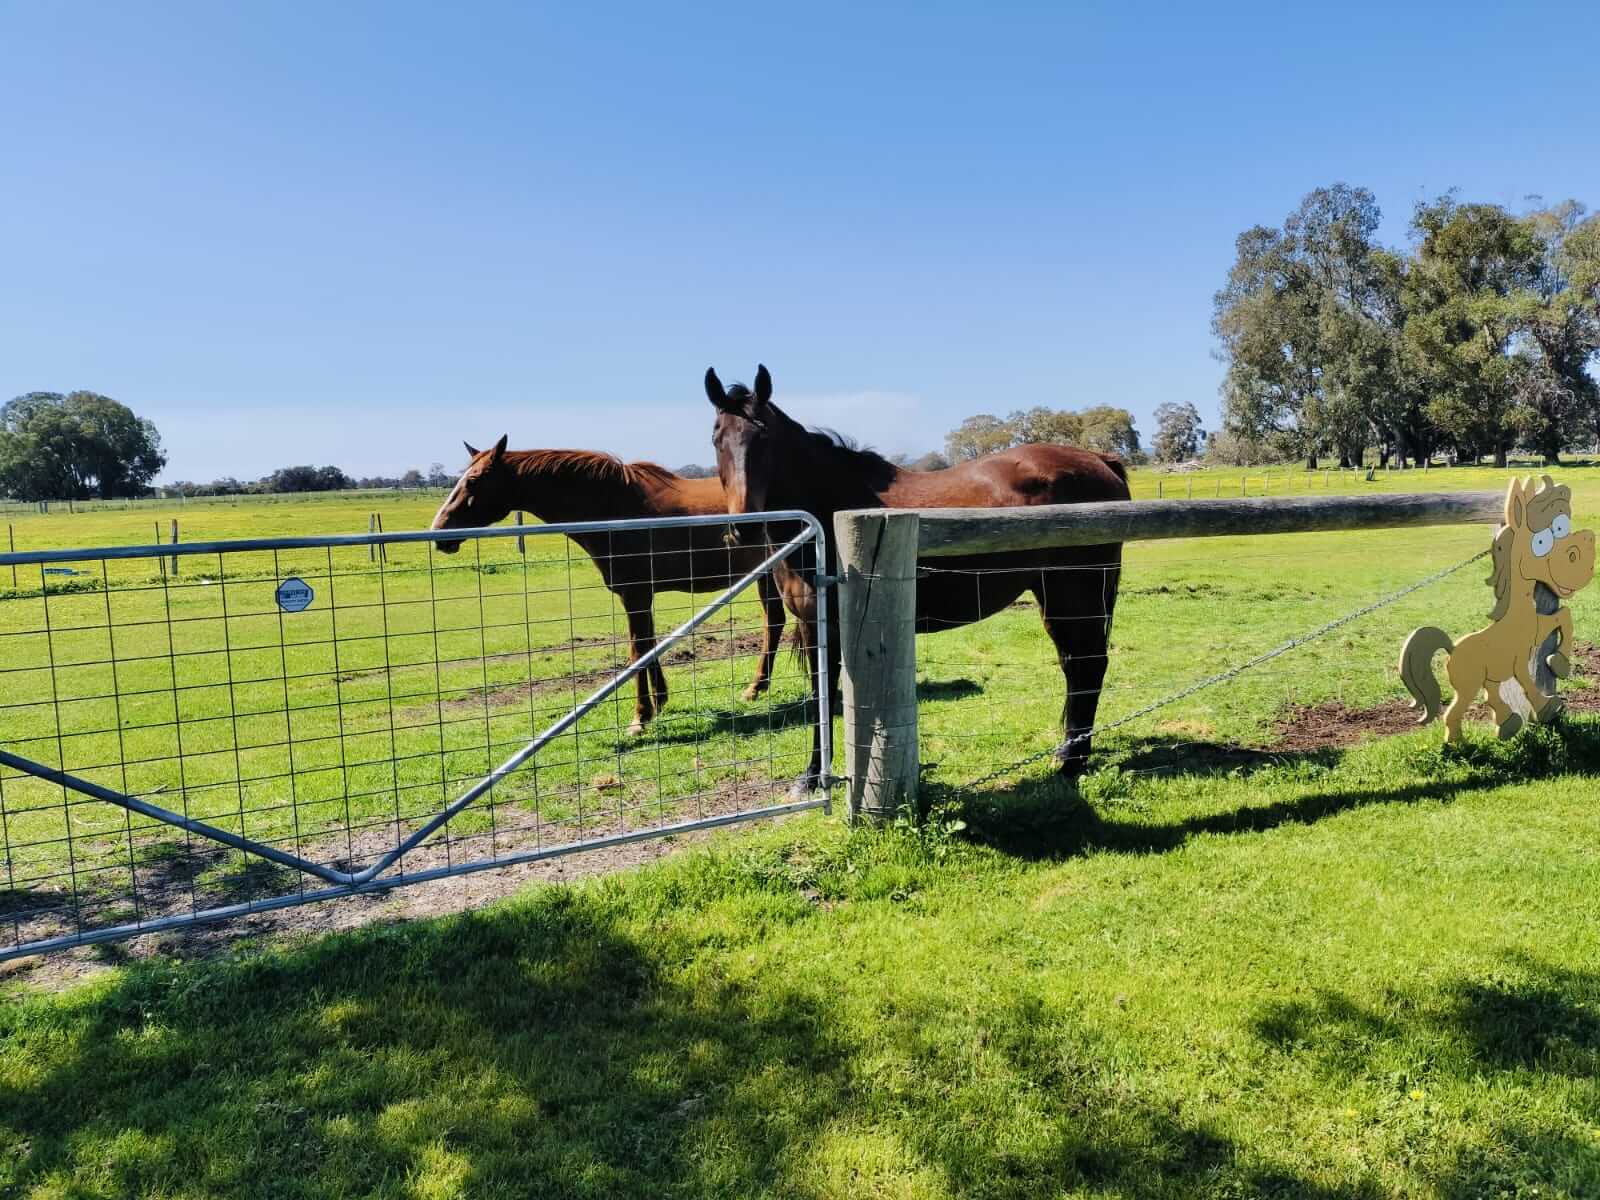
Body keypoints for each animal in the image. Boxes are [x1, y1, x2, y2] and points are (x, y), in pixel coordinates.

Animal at [432, 438, 787, 739]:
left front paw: (640, 717)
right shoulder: (640, 597)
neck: (614, 506)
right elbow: (648, 645)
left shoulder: (635, 594)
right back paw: (755, 688)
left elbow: (638, 652)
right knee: (774, 622)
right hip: (767, 575)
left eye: (474, 480)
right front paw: (659, 701)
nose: (439, 534)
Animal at [707, 366, 1132, 800]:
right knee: (1075, 667)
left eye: (764, 439)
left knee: (1088, 665)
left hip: (1075, 594)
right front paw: (812, 776)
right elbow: (822, 695)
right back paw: (1068, 753)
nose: (742, 528)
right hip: (1055, 596)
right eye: (717, 438)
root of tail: (1100, 459)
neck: (830, 509)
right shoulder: (813, 626)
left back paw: (1070, 764)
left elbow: (827, 697)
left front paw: (817, 778)